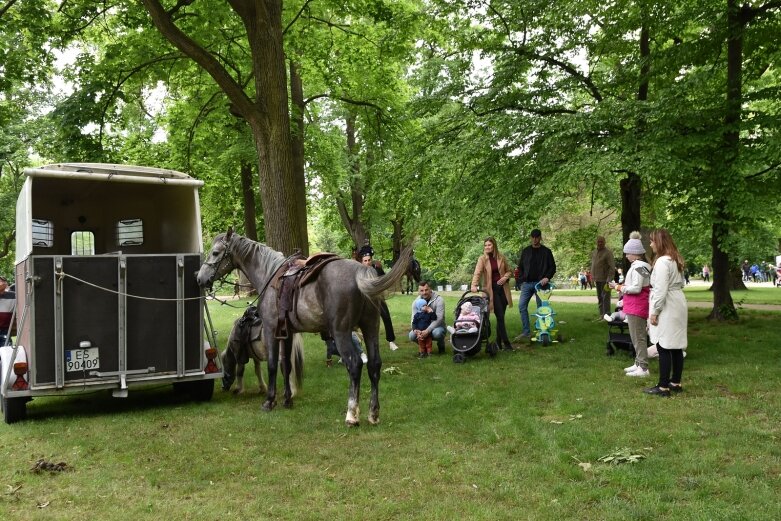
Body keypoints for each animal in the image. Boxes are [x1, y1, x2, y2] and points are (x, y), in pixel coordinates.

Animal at [195, 230, 412, 424]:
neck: (269, 275)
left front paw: (269, 401)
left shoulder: (271, 329)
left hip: (341, 332)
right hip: (370, 328)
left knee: (355, 364)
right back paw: (373, 414)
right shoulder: (288, 333)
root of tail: (361, 273)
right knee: (374, 365)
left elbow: (272, 365)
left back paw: (352, 415)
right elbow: (286, 365)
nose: (200, 278)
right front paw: (287, 399)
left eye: (215, 253)